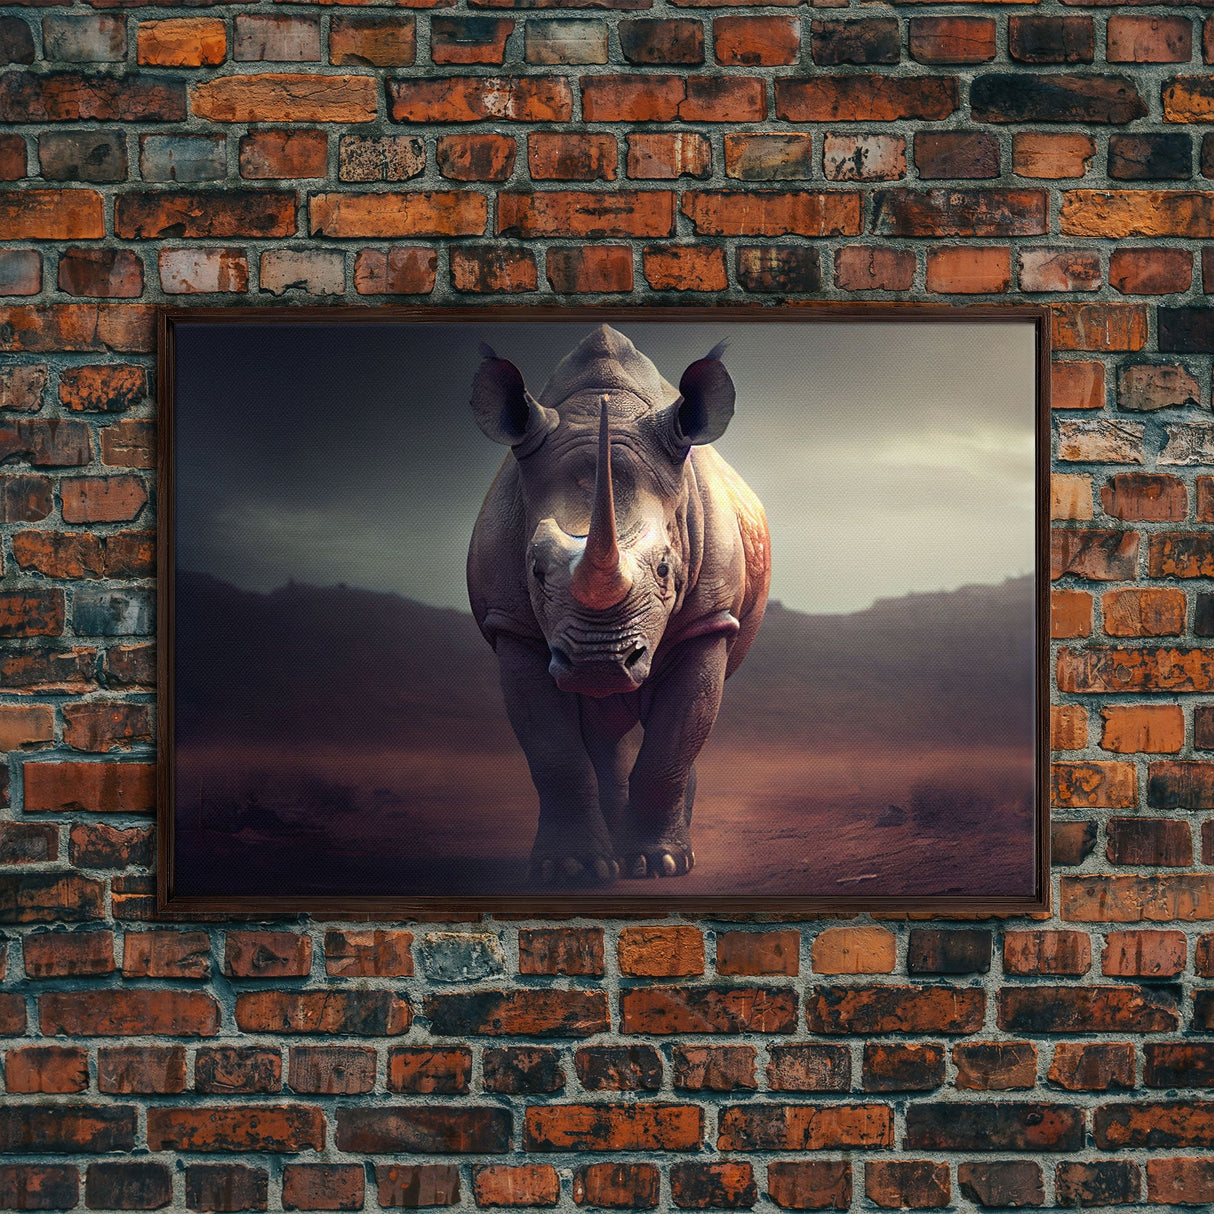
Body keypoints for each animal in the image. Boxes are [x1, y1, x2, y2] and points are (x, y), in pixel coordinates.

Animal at [467, 325, 770, 884]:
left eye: (666, 569)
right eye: (535, 570)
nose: (600, 662)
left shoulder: (707, 622)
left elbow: (673, 741)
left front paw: (661, 864)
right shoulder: (513, 625)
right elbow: (554, 752)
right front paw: (571, 868)